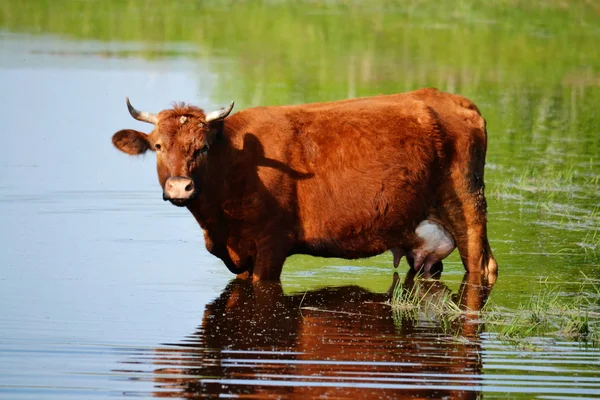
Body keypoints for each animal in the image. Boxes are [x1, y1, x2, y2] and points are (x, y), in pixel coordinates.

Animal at [111, 87, 496, 282]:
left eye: (202, 147)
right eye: (158, 146)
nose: (180, 187)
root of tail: (456, 101)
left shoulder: (271, 245)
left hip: (467, 207)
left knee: (482, 266)